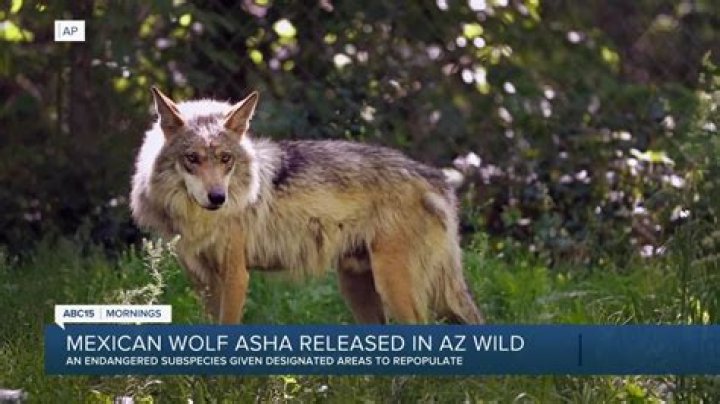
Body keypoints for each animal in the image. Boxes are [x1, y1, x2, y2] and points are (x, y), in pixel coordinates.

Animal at [130, 87, 483, 325]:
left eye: (225, 159)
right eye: (192, 159)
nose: (218, 198)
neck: (198, 221)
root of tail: (436, 178)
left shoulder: (235, 276)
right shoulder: (202, 280)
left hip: (394, 286)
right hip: (357, 286)